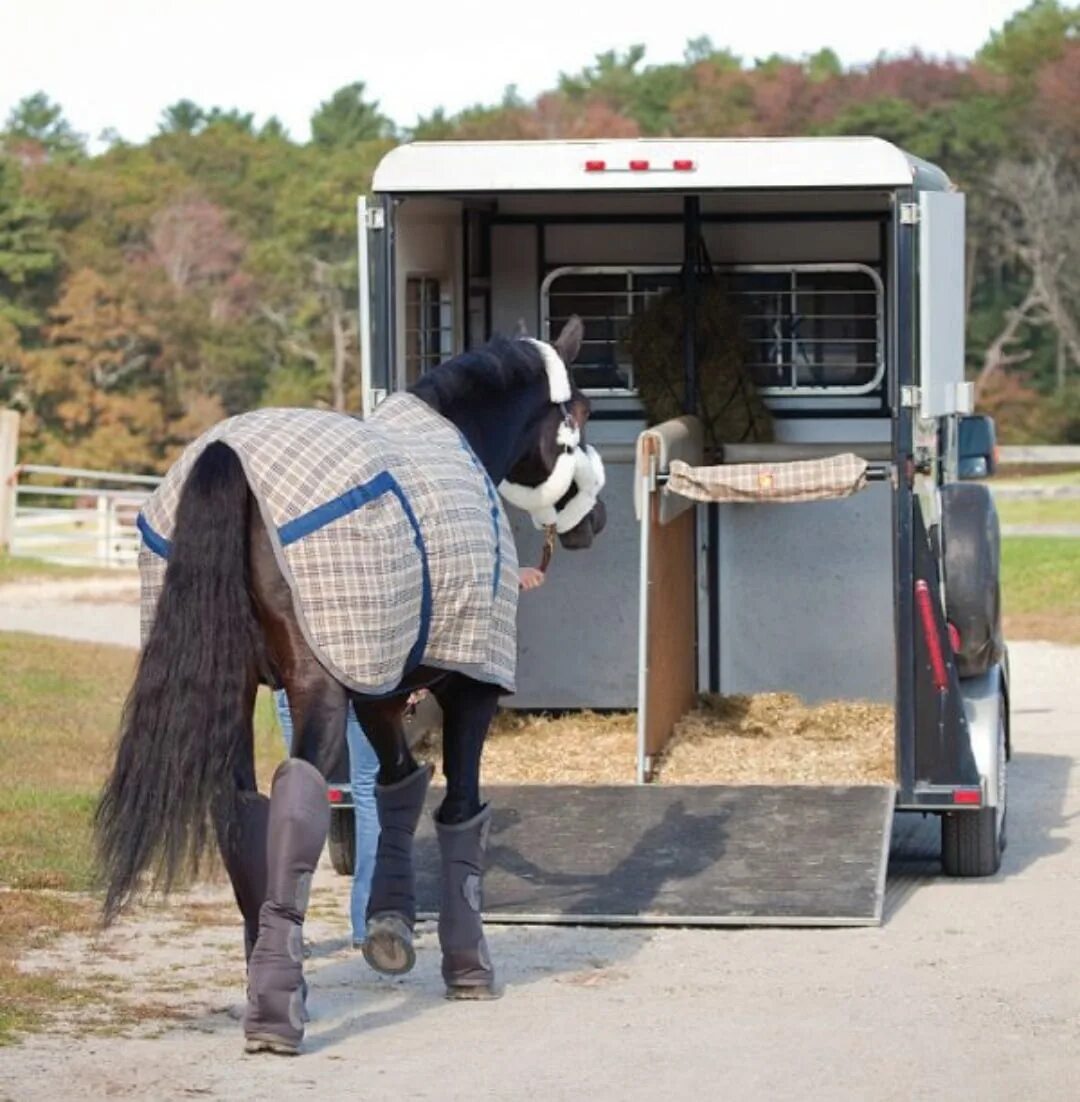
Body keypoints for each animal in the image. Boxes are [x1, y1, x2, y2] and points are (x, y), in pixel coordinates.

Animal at [95, 317, 603, 1049]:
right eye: (581, 414)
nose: (596, 521)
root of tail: (226, 455)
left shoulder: (381, 689)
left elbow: (397, 788)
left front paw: (391, 928)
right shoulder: (467, 685)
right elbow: (459, 810)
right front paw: (469, 968)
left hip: (240, 691)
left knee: (241, 809)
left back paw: (271, 978)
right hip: (315, 690)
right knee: (298, 794)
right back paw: (278, 1015)